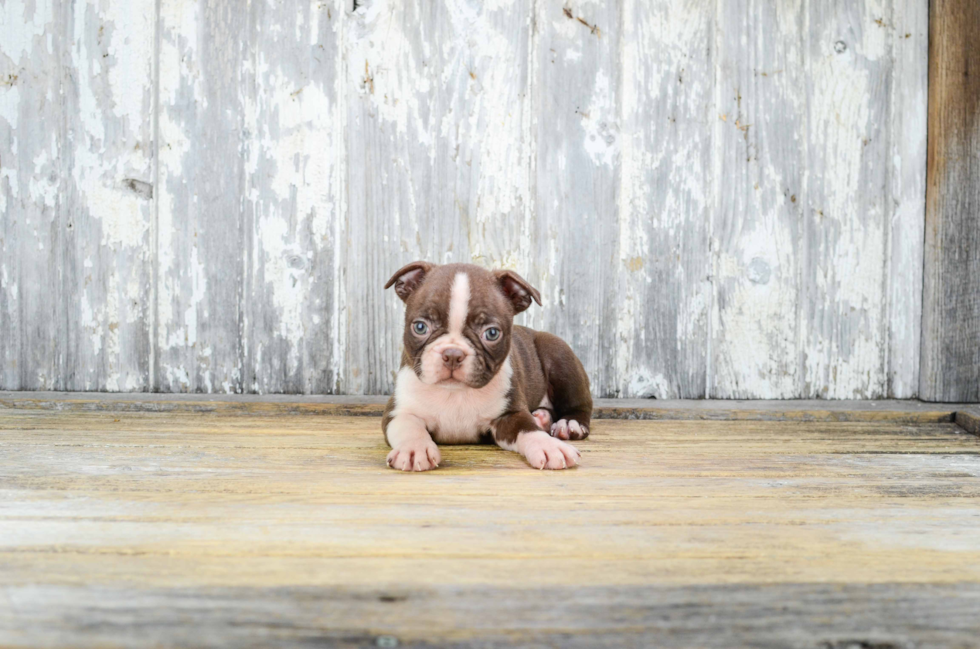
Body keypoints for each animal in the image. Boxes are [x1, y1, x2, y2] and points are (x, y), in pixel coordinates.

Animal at [382, 260, 592, 470]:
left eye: (492, 333)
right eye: (420, 327)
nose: (452, 354)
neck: (455, 393)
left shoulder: (510, 414)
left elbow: (528, 429)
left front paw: (548, 445)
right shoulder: (398, 411)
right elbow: (409, 427)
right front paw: (414, 448)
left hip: (559, 354)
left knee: (579, 404)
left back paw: (568, 424)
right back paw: (542, 418)